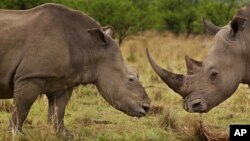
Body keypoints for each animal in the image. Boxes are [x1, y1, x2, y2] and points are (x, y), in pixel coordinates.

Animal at [0, 3, 150, 138]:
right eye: (130, 79)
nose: (147, 107)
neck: (91, 48)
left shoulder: (62, 82)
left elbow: (58, 111)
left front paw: (65, 135)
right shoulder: (30, 76)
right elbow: (21, 109)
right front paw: (16, 135)